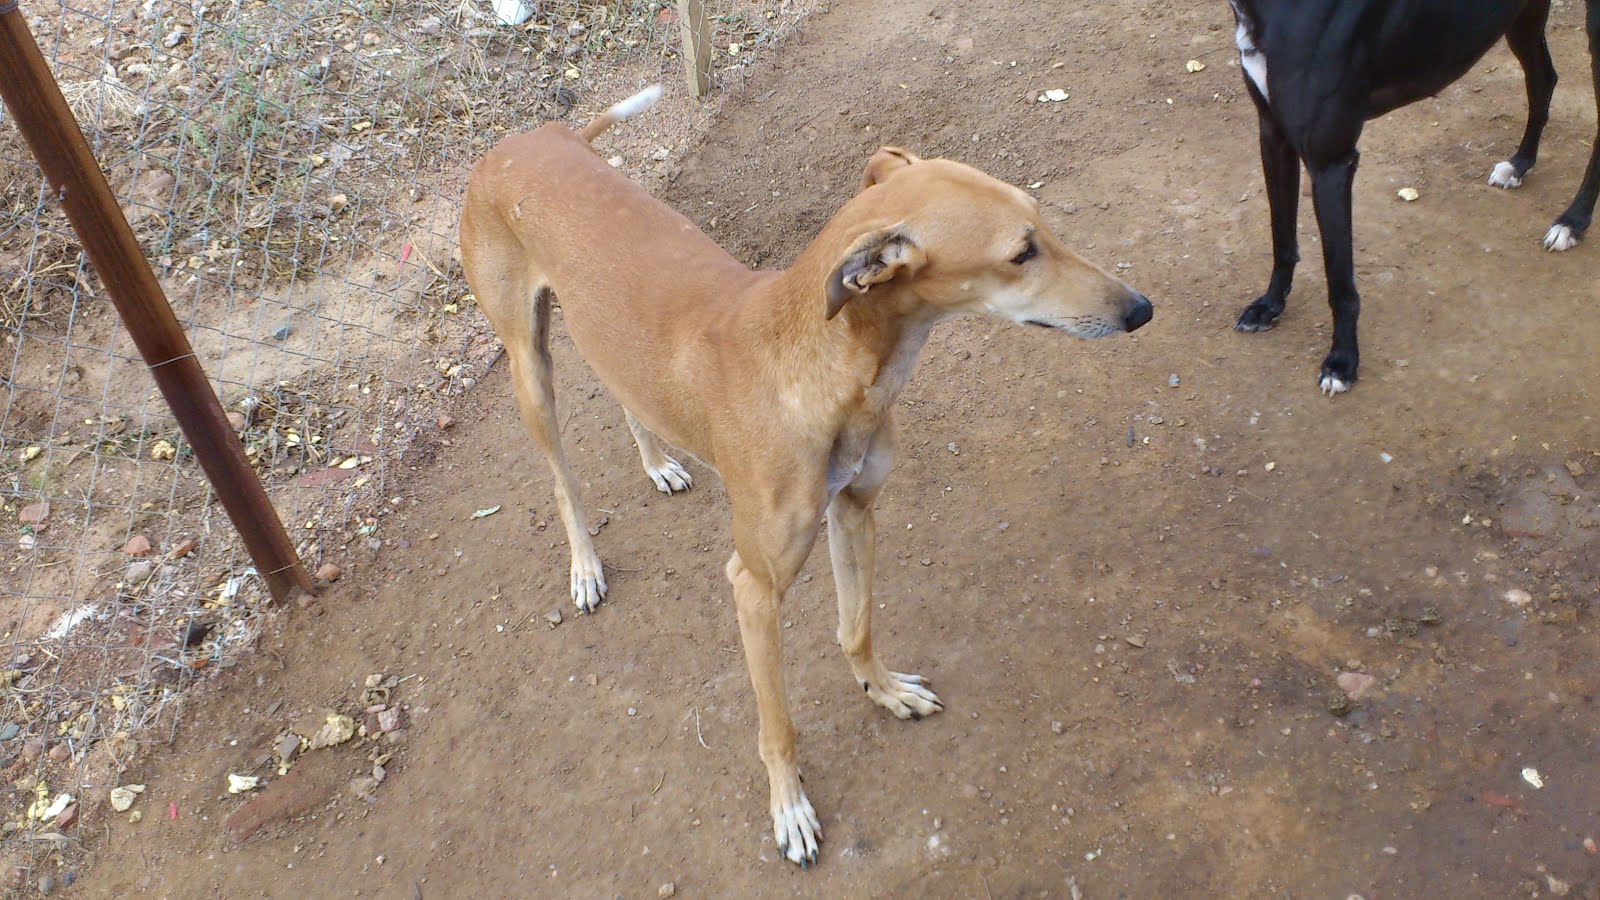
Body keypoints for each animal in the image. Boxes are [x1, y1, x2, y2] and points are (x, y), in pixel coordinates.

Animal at [458, 85, 1153, 865]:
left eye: (1043, 225)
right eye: (1020, 253)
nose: (1141, 309)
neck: (817, 365)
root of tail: (526, 139)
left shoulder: (854, 511)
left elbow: (856, 628)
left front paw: (884, 691)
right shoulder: (754, 589)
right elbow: (777, 726)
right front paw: (788, 809)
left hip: (596, 336)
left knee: (623, 397)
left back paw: (658, 463)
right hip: (528, 365)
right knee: (560, 478)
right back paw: (584, 566)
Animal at [1228, 0, 1600, 394]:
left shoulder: (1331, 163)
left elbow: (1341, 282)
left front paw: (1342, 361)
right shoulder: (1273, 134)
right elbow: (1282, 239)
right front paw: (1270, 305)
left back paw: (1573, 221)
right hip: (1522, 17)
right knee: (1543, 80)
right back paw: (1520, 164)